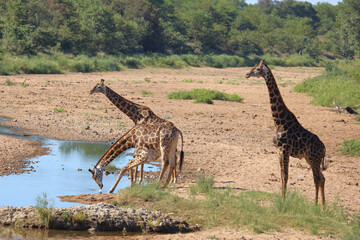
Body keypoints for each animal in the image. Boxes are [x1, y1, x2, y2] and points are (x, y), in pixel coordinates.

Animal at [245, 59, 326, 206]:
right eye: (253, 67)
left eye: (258, 69)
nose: (247, 74)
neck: (278, 121)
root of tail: (324, 149)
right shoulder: (279, 150)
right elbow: (282, 175)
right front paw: (282, 198)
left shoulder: (285, 149)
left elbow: (286, 176)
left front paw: (283, 201)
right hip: (309, 159)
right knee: (322, 178)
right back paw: (323, 206)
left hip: (314, 159)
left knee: (317, 179)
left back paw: (316, 205)